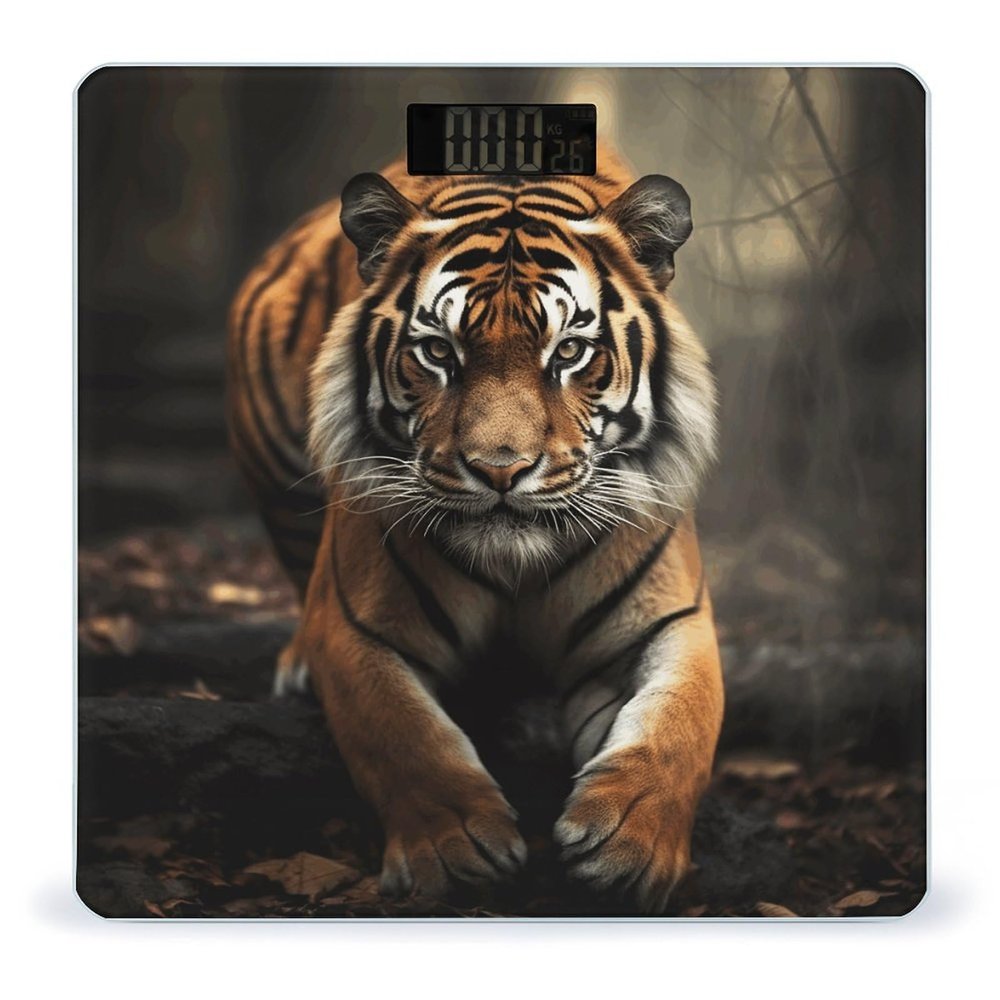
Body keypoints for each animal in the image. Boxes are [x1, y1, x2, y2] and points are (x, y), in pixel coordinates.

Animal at [226, 146, 723, 914]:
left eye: (569, 352)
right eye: (438, 352)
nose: (500, 470)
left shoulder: (670, 620)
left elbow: (681, 722)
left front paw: (630, 849)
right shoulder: (359, 628)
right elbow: (402, 733)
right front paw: (455, 850)